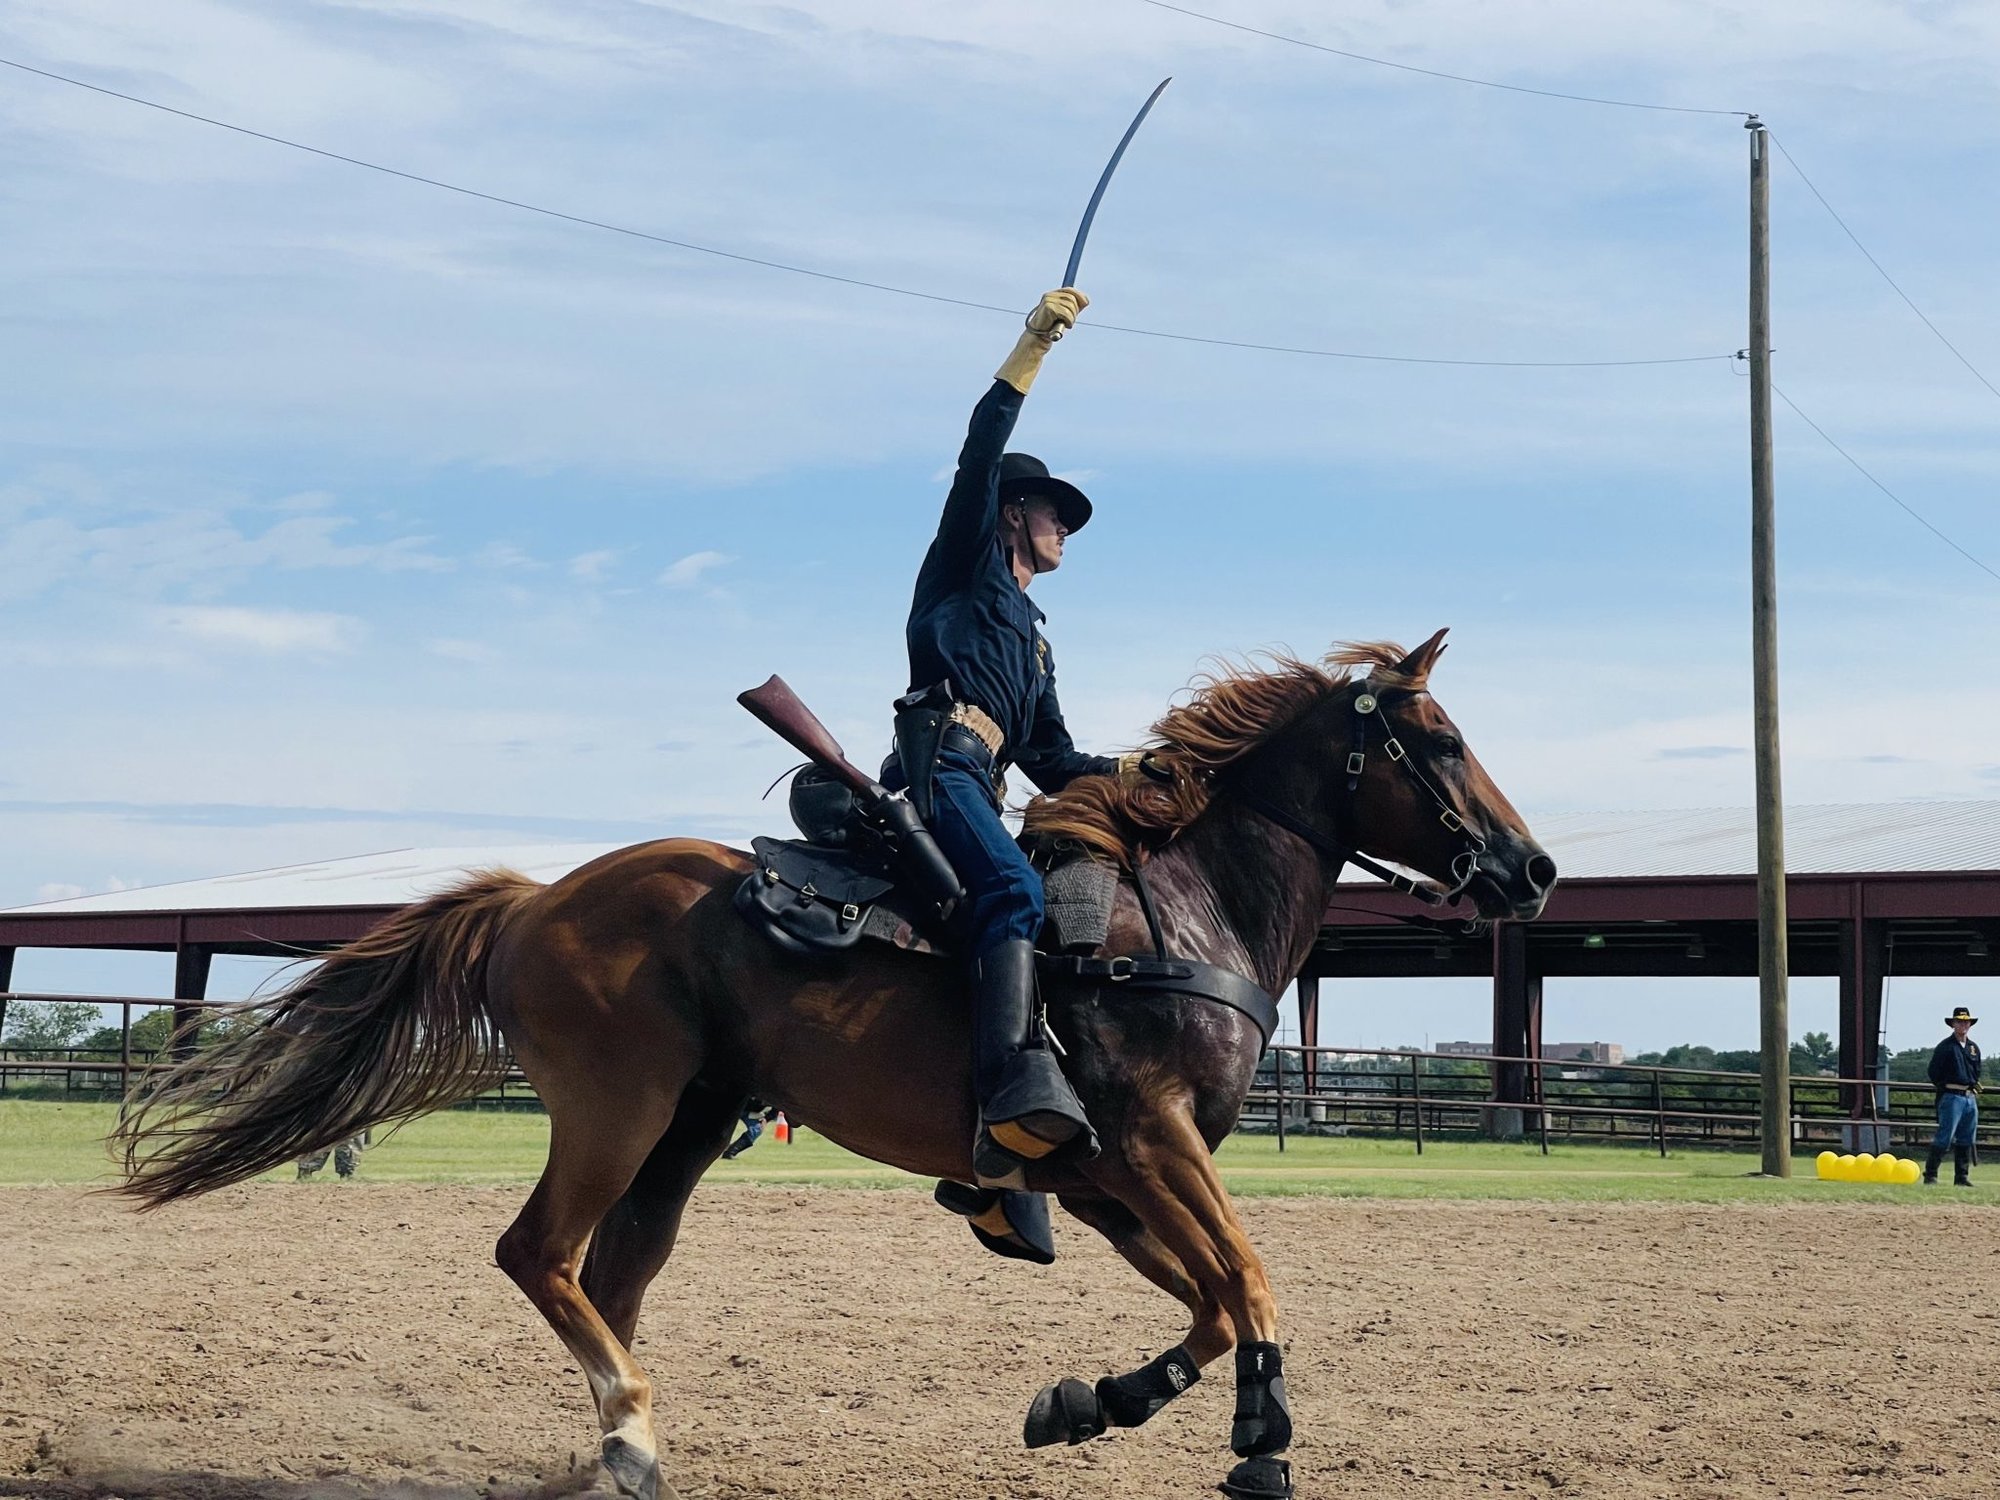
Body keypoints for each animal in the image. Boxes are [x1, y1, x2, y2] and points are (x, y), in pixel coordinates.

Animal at [109, 632, 1552, 1500]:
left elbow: (1205, 1301)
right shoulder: (1150, 1141)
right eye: (1436, 740)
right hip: (616, 1111)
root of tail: (535, 901)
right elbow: (1248, 1278)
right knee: (541, 1255)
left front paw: (1092, 1403)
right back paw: (626, 1425)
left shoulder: (1106, 1181)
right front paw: (1260, 1445)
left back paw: (617, 1446)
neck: (1184, 909)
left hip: (687, 1129)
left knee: (611, 1277)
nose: (1531, 869)